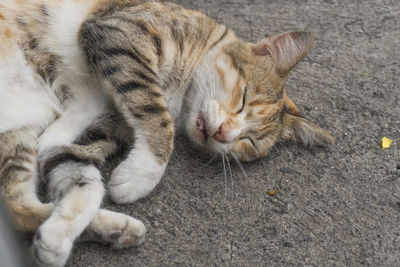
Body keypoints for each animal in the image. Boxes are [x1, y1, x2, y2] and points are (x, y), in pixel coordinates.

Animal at [0, 0, 332, 266]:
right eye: (243, 100)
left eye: (248, 142)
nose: (224, 133)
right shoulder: (118, 32)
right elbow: (158, 117)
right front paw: (142, 174)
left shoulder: (90, 126)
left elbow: (78, 174)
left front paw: (57, 236)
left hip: (17, 134)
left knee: (16, 207)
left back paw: (111, 229)